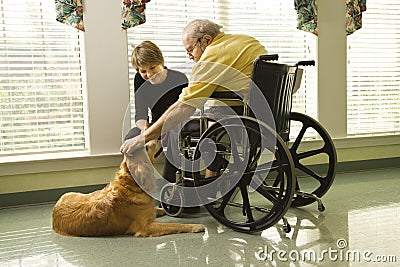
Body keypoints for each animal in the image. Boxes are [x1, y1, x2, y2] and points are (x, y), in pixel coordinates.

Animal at [51, 141, 205, 238]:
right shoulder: (146, 227)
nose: (160, 137)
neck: (131, 186)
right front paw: (194, 226)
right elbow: (176, 225)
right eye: (146, 147)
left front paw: (165, 208)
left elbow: (157, 210)